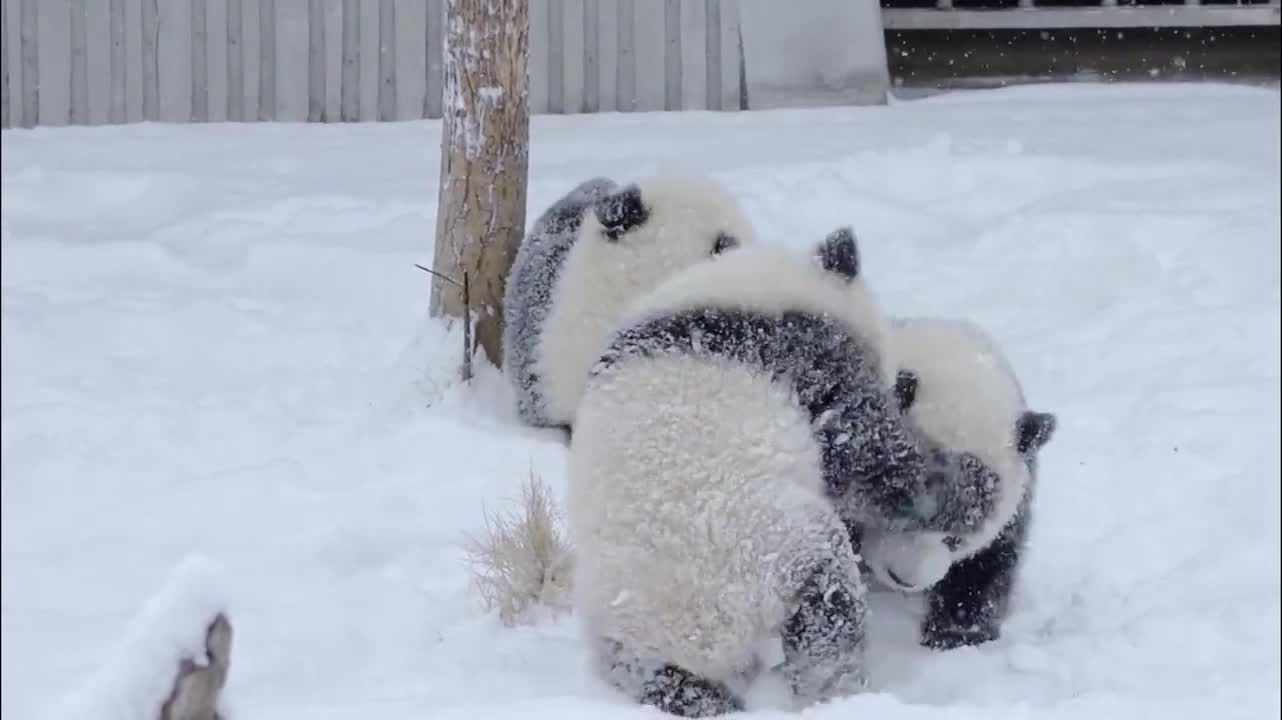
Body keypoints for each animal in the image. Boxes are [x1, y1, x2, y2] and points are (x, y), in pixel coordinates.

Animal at [569, 229, 1010, 712]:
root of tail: (684, 646)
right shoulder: (808, 358)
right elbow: (870, 460)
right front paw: (968, 489)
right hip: (757, 549)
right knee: (827, 599)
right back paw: (837, 689)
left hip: (637, 636)